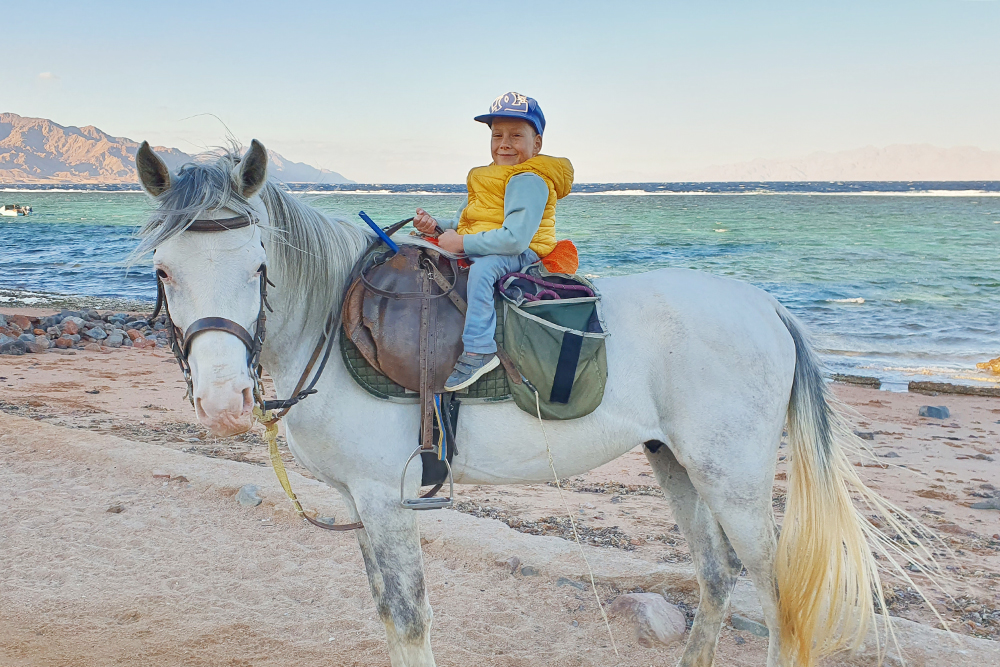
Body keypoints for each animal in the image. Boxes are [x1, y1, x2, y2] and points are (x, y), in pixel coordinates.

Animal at [133, 141, 928, 667]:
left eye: (258, 265)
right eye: (164, 271)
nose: (223, 401)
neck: (332, 319)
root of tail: (766, 307)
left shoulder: (386, 499)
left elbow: (410, 617)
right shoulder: (359, 502)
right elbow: (388, 612)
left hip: (731, 477)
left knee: (777, 596)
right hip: (677, 464)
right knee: (715, 578)